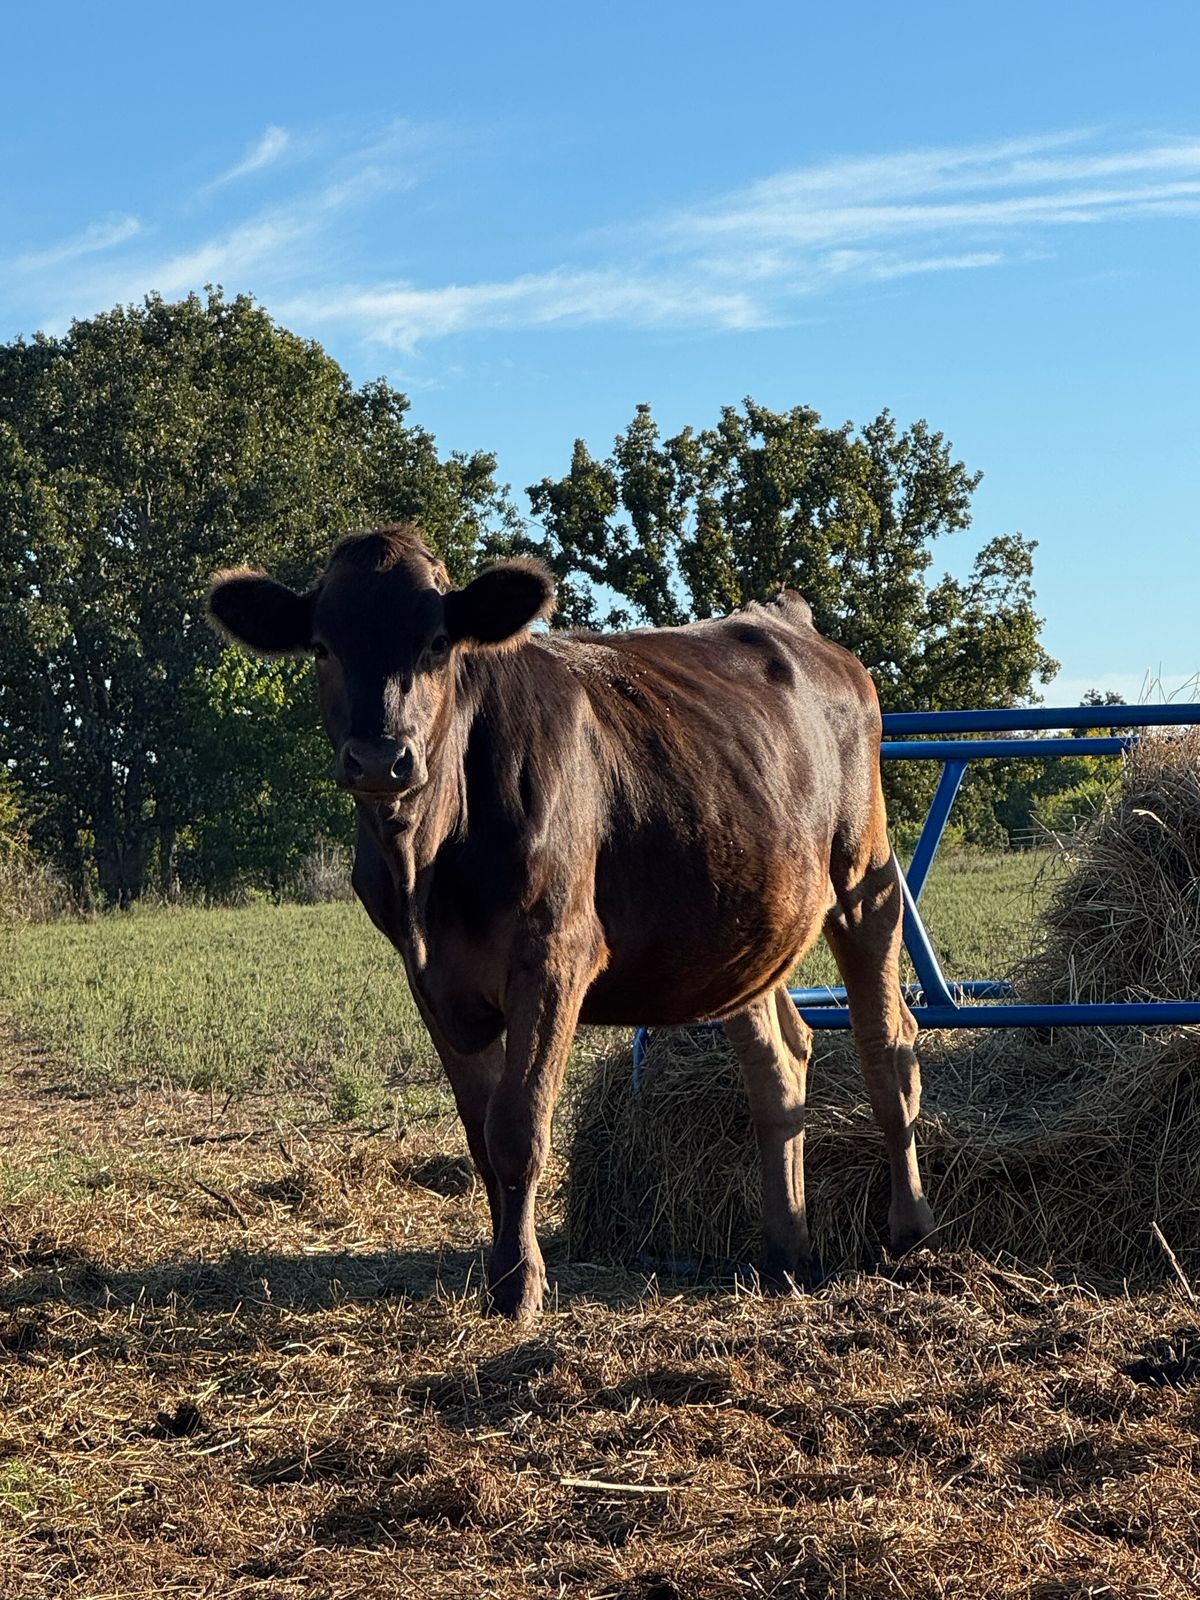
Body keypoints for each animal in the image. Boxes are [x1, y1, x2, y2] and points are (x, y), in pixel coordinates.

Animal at [208, 523, 935, 1319]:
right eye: (322, 646)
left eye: (438, 642)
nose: (379, 758)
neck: (426, 861)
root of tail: (788, 619)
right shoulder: (430, 978)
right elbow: (478, 1132)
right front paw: (502, 1269)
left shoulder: (554, 952)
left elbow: (518, 1127)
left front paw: (520, 1283)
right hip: (747, 922)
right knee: (780, 1067)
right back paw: (786, 1252)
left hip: (866, 877)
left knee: (888, 1046)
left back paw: (911, 1234)